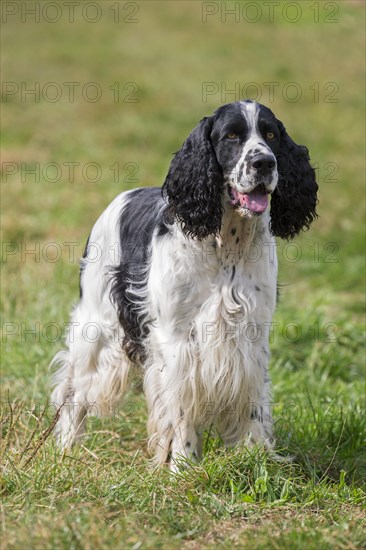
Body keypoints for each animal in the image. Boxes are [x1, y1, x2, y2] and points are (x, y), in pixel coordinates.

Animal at [51, 99, 318, 470]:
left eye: (271, 134)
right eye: (231, 136)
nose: (265, 162)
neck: (226, 243)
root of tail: (124, 196)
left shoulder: (251, 336)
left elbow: (253, 404)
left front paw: (255, 459)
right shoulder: (178, 342)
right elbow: (180, 409)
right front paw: (183, 466)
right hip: (96, 330)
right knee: (72, 392)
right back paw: (66, 450)